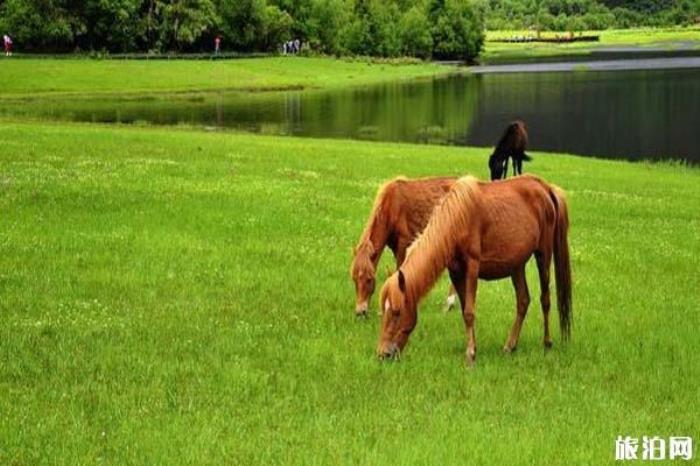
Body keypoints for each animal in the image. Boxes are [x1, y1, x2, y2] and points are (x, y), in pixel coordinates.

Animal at [350, 177, 460, 318]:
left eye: (369, 280)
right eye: (354, 279)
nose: (360, 312)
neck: (391, 207)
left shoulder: (403, 242)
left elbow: (399, 269)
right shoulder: (394, 246)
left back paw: (450, 303)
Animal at [380, 175, 572, 364]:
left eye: (397, 312)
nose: (383, 354)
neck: (457, 219)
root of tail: (546, 188)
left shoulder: (472, 267)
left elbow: (469, 312)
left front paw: (470, 354)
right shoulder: (456, 272)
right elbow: (465, 310)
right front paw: (473, 348)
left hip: (543, 255)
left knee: (545, 299)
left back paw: (547, 343)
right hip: (517, 265)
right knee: (523, 301)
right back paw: (510, 346)